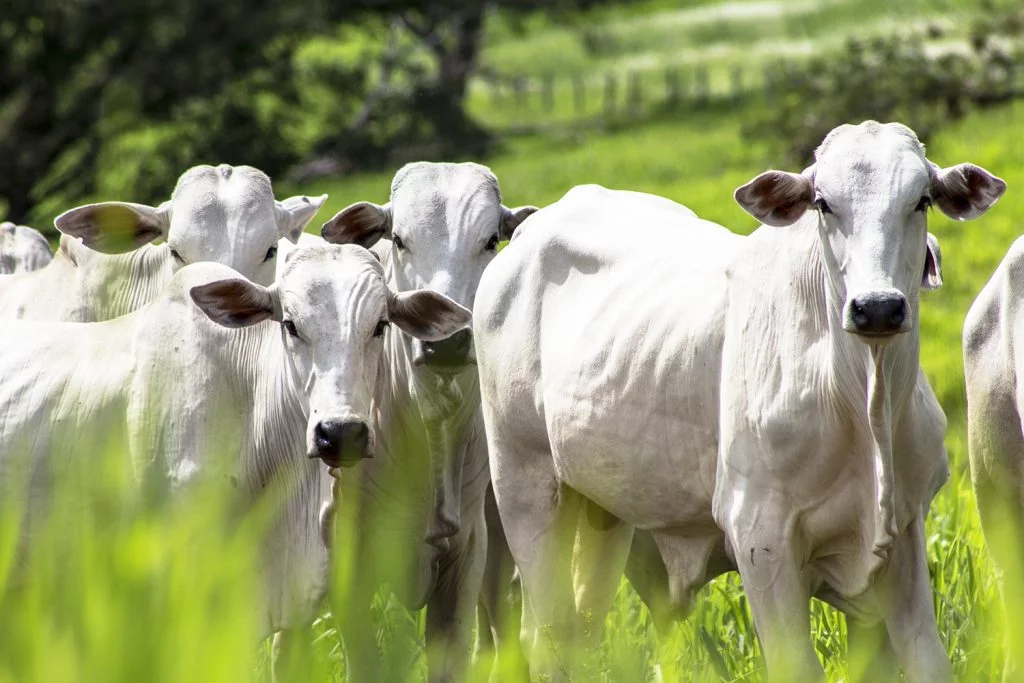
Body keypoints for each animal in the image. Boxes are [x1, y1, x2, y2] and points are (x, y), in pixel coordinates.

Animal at [475, 122, 1003, 683]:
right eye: (822, 203)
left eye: (921, 199)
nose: (877, 308)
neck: (863, 401)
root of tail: (531, 231)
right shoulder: (761, 539)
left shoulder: (903, 533)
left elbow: (927, 659)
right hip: (525, 484)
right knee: (547, 635)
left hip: (601, 507)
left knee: (579, 629)